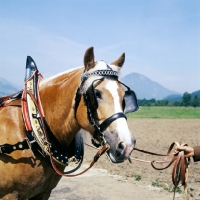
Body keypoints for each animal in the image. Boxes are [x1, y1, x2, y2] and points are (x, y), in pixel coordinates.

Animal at [0, 46, 138, 198]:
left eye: (124, 97)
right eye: (96, 94)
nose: (126, 146)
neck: (29, 132)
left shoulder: (44, 192)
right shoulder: (9, 195)